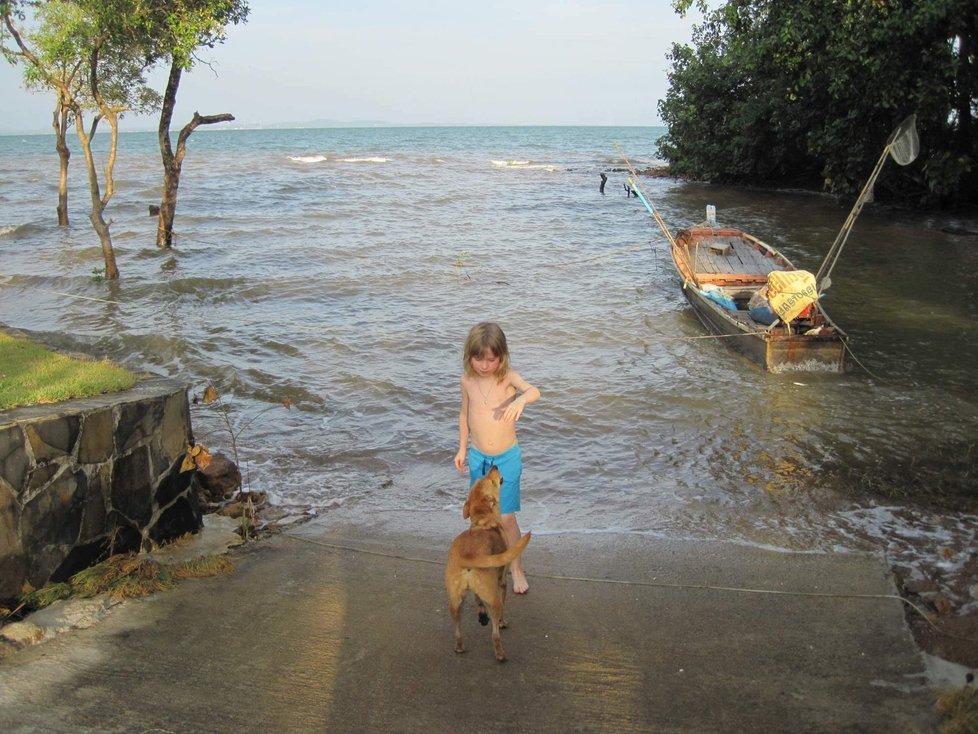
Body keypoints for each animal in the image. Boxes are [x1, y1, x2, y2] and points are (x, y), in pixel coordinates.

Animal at [446, 468, 528, 664]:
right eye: (490, 480)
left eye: (481, 479)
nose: (493, 466)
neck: (482, 519)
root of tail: (468, 557)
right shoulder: (502, 581)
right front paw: (502, 623)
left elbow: (477, 600)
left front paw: (481, 614)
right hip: (494, 598)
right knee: (495, 635)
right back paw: (500, 654)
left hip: (454, 602)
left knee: (457, 630)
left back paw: (460, 647)